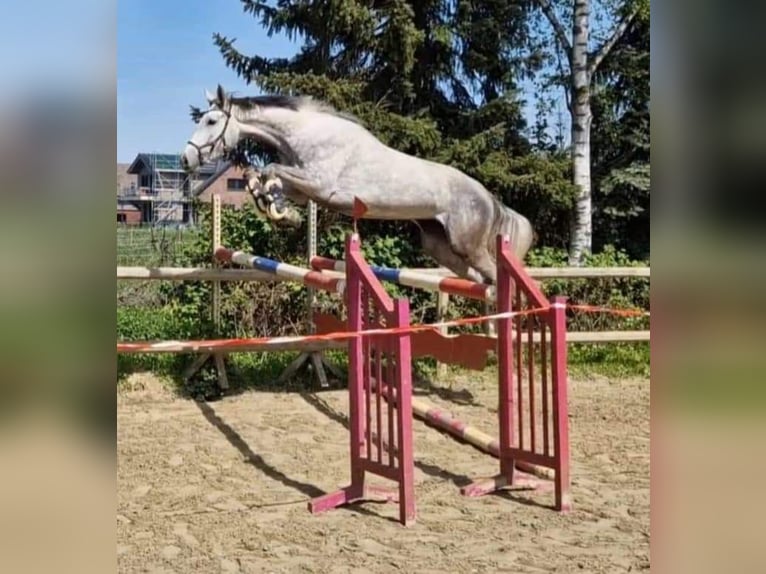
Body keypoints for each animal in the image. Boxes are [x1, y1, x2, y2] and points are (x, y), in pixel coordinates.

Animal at [183, 84, 536, 284]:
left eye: (211, 121)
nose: (186, 159)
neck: (304, 133)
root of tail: (489, 198)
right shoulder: (305, 188)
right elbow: (265, 177)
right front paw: (279, 210)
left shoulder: (320, 185)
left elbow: (271, 169)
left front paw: (275, 206)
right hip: (440, 246)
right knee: (480, 279)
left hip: (467, 245)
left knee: (498, 276)